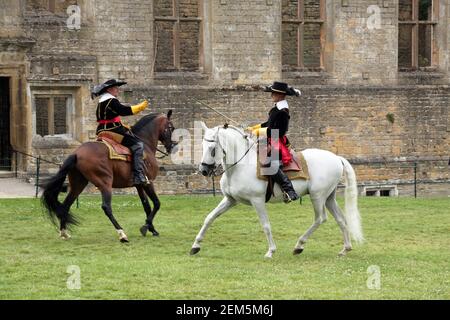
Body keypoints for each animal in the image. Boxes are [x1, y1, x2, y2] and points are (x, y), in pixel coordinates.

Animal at [41, 111, 176, 241]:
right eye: (171, 127)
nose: (171, 146)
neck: (145, 144)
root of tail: (77, 153)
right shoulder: (149, 182)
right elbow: (157, 203)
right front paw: (145, 227)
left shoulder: (139, 185)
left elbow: (146, 206)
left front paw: (152, 229)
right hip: (105, 183)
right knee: (106, 207)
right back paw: (121, 234)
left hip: (78, 185)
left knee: (66, 205)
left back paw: (64, 232)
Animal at [191, 122, 366, 258]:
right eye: (202, 146)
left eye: (213, 148)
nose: (204, 170)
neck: (241, 165)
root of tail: (336, 158)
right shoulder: (230, 200)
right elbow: (210, 217)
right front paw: (195, 245)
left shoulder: (257, 201)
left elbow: (266, 225)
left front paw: (270, 251)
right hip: (329, 197)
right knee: (341, 219)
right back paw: (345, 249)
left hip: (318, 196)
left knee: (320, 219)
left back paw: (299, 245)